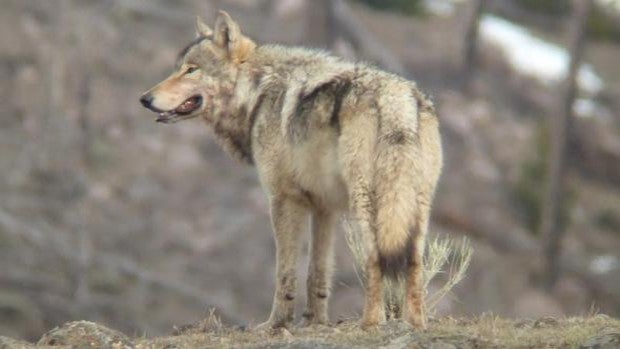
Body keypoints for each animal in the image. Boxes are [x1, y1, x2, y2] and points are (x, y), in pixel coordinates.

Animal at [139, 10, 440, 328]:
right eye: (177, 69)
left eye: (191, 70)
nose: (144, 99)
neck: (257, 94)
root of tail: (396, 95)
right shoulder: (324, 209)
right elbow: (317, 273)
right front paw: (315, 323)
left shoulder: (282, 199)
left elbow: (285, 272)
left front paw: (276, 325)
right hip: (415, 206)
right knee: (414, 260)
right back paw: (416, 323)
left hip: (366, 201)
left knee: (375, 257)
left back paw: (370, 323)